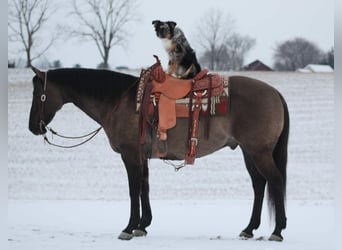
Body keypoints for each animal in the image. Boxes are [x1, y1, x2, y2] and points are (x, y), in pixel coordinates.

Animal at [28, 60, 288, 240]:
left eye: (37, 94)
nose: (32, 127)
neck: (121, 101)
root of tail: (275, 93)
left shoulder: (130, 155)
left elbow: (133, 189)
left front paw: (129, 227)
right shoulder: (142, 156)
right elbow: (145, 187)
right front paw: (143, 225)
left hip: (259, 152)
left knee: (275, 181)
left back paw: (277, 230)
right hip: (248, 152)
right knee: (259, 185)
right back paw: (249, 229)